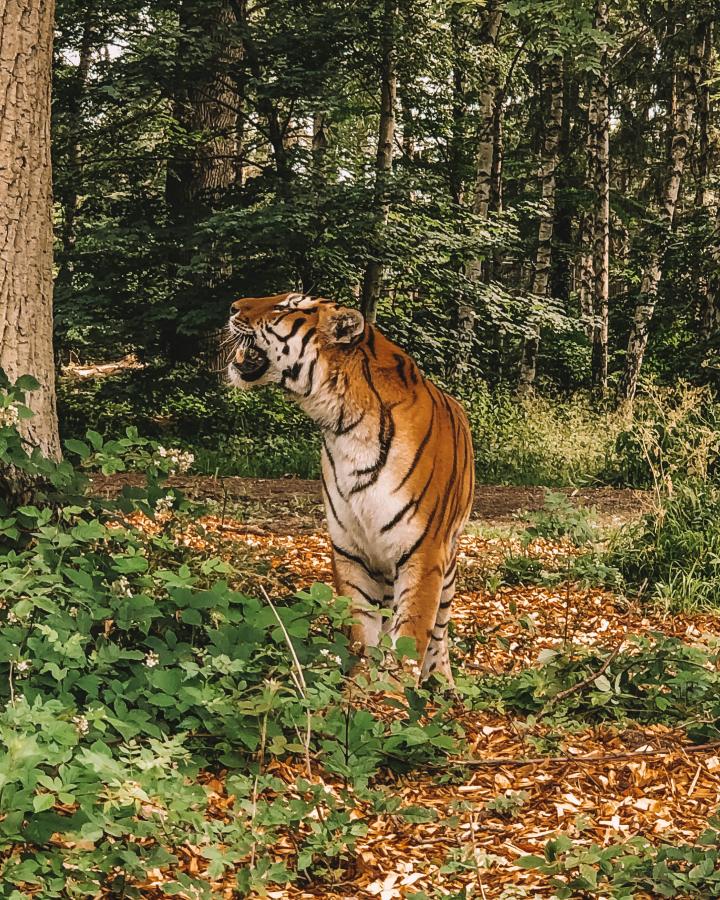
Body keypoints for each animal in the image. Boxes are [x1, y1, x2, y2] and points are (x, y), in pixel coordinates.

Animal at [227, 291, 475, 684]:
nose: (233, 307)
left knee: (440, 629)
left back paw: (443, 684)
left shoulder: (424, 552)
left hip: (448, 560)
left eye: (286, 306)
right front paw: (359, 688)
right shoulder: (351, 549)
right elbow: (362, 633)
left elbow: (411, 638)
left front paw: (393, 695)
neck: (345, 425)